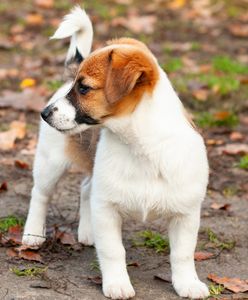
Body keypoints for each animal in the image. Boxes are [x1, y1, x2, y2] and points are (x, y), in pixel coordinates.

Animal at [22, 5, 209, 298]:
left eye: (83, 88)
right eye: (76, 86)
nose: (44, 113)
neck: (142, 148)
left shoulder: (186, 214)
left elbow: (182, 254)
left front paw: (187, 283)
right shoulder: (107, 209)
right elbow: (113, 251)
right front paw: (117, 283)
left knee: (86, 187)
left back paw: (87, 231)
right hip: (50, 162)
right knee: (40, 195)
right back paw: (33, 235)